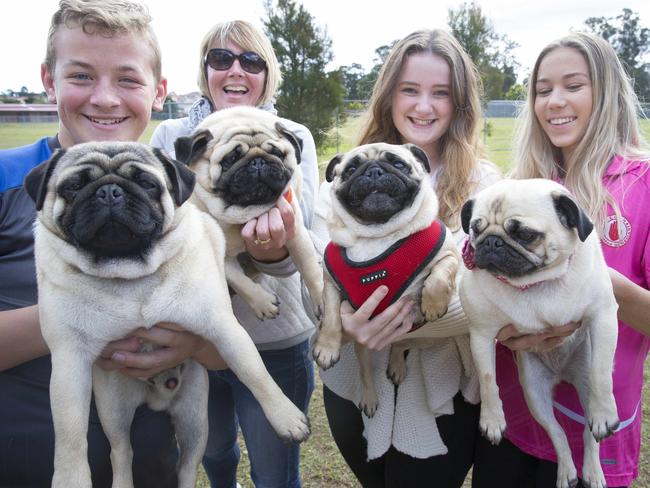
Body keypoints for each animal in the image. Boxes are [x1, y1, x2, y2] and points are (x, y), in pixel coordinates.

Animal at [25, 141, 308, 488]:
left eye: (147, 184)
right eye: (74, 186)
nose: (109, 191)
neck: (129, 274)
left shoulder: (223, 328)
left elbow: (256, 373)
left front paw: (286, 417)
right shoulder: (69, 361)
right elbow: (69, 434)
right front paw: (70, 480)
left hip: (195, 418)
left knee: (186, 465)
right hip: (113, 408)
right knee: (121, 452)